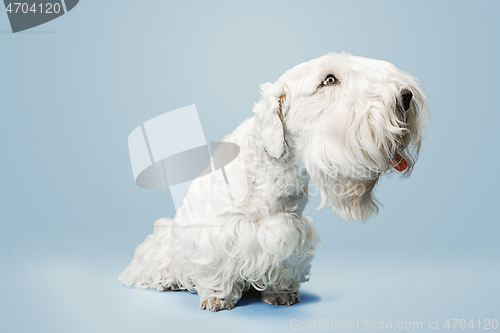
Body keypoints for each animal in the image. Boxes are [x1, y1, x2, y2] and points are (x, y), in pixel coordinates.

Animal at [119, 52, 428, 312]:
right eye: (328, 80)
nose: (406, 96)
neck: (273, 167)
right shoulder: (219, 234)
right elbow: (216, 270)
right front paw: (217, 298)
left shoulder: (292, 231)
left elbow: (284, 265)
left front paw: (281, 293)